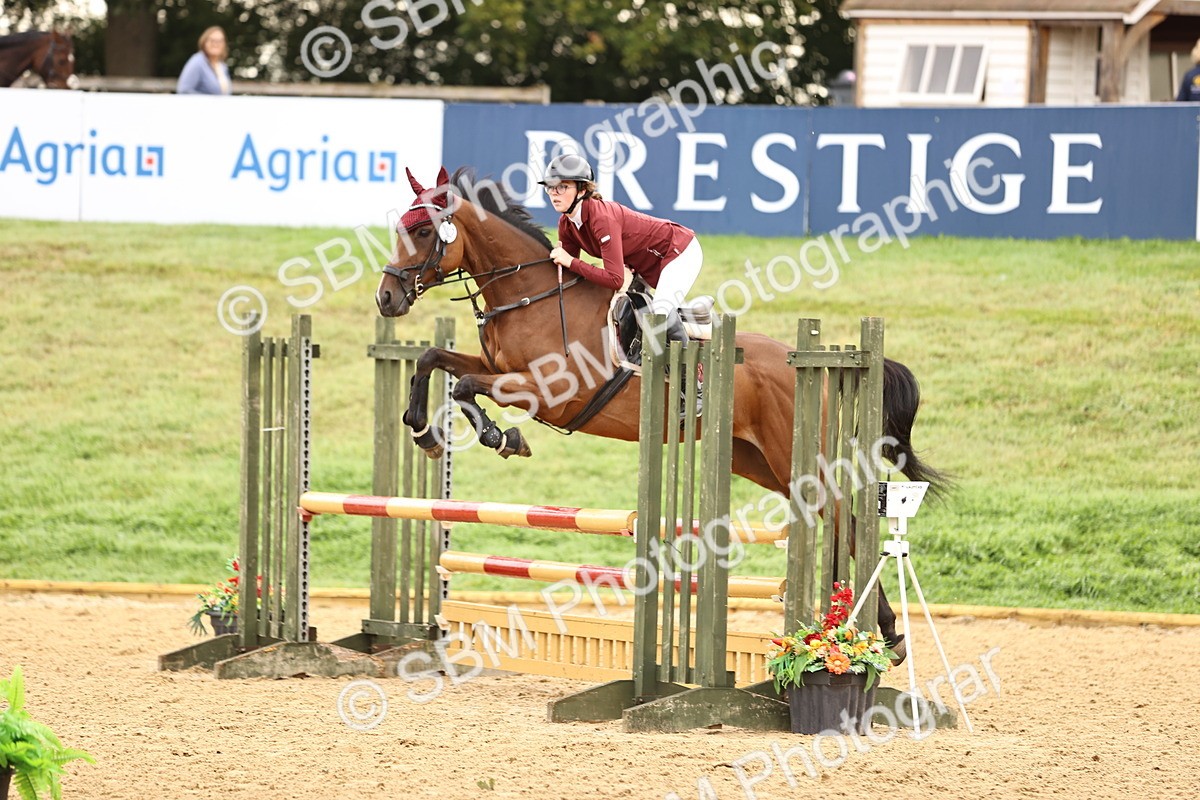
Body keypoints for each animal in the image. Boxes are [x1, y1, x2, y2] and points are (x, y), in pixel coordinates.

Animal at [376, 166, 947, 652]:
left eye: (423, 230)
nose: (386, 298)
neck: (529, 296)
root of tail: (814, 364)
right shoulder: (497, 368)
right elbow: (434, 360)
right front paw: (424, 432)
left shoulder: (550, 393)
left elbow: (467, 386)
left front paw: (501, 437)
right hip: (761, 462)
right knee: (831, 522)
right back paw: (867, 630)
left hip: (795, 456)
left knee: (844, 521)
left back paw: (872, 633)